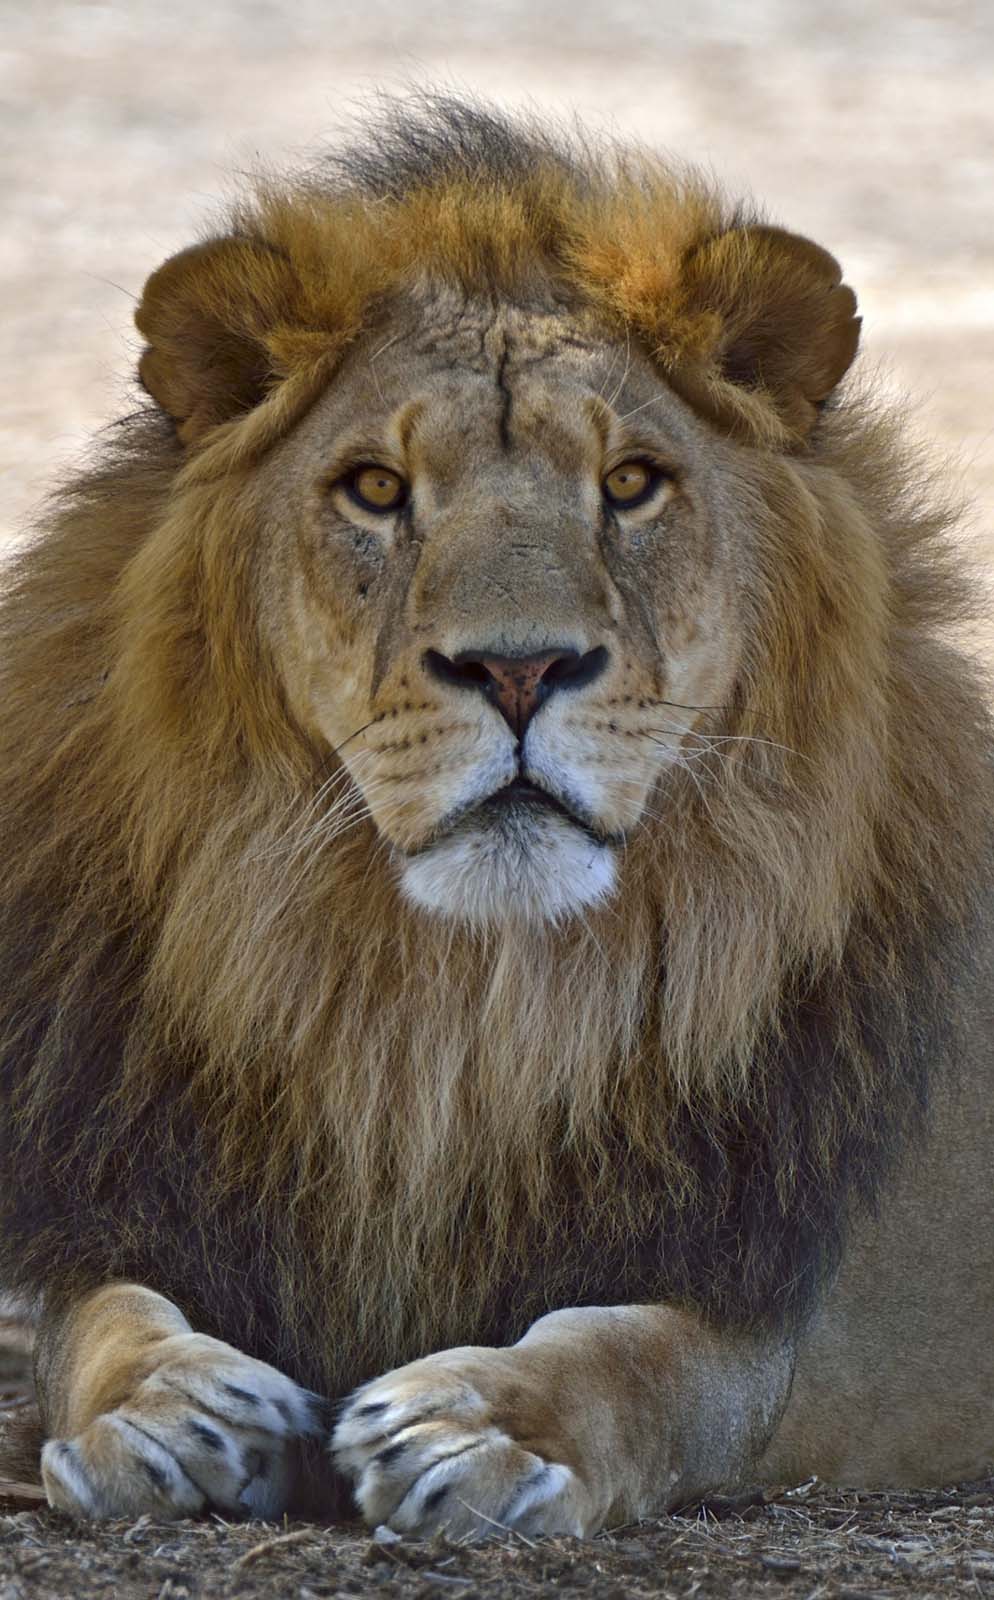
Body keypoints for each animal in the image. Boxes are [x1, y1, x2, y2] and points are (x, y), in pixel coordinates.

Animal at [1, 95, 992, 1536]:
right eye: (374, 488)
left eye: (631, 483)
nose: (518, 669)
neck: (459, 1018)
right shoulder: (136, 1197)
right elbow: (101, 1316)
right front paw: (164, 1410)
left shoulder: (792, 1301)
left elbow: (646, 1356)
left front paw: (476, 1419)